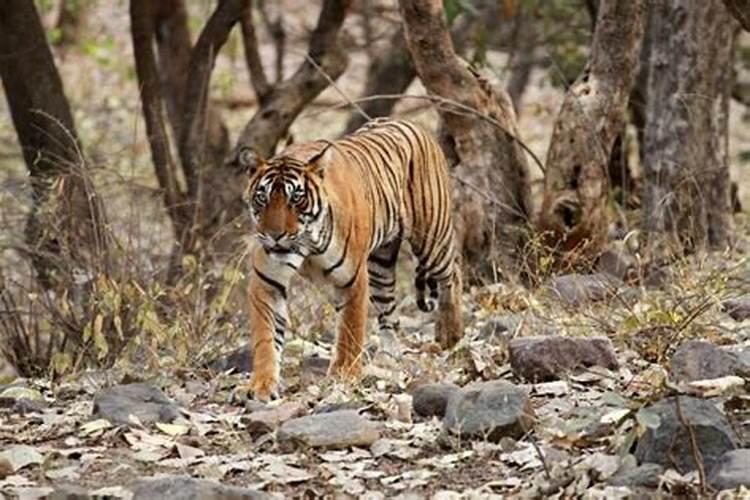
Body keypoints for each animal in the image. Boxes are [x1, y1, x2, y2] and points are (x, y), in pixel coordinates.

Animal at [234, 118, 464, 402]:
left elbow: (350, 330)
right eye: (262, 198)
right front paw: (262, 386)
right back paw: (388, 358)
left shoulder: (352, 279)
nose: (274, 235)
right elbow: (265, 338)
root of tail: (407, 122)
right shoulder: (267, 282)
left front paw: (344, 375)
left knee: (453, 271)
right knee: (389, 313)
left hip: (431, 238)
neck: (307, 243)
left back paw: (450, 333)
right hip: (380, 265)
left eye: (296, 198)